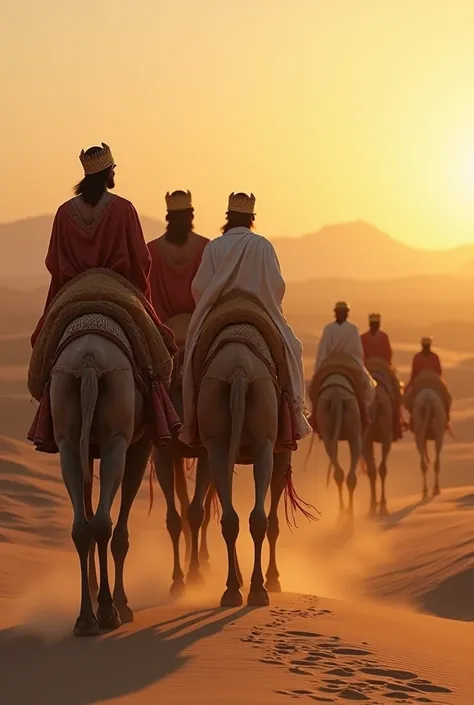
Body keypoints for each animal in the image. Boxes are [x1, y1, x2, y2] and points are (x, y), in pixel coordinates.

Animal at [48, 332, 152, 636]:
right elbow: (121, 528)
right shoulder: (141, 442)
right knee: (104, 522)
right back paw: (108, 611)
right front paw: (122, 603)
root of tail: (89, 361)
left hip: (68, 436)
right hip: (116, 438)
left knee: (82, 527)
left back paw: (86, 618)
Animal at [314, 372, 362, 516]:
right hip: (354, 428)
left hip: (326, 421)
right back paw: (349, 509)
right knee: (351, 475)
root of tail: (336, 396)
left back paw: (343, 507)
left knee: (338, 471)